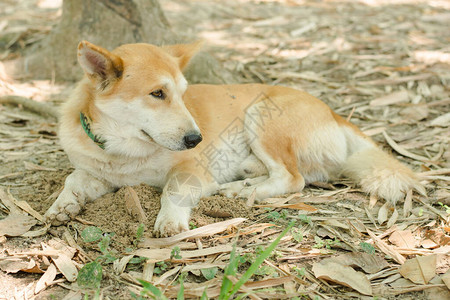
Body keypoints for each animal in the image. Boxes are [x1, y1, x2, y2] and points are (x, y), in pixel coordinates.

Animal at [43, 40, 426, 237]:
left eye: (182, 94)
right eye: (157, 94)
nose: (196, 138)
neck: (123, 153)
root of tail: (333, 111)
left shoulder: (191, 169)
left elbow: (173, 190)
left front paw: (171, 220)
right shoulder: (100, 173)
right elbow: (74, 179)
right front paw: (62, 206)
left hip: (260, 115)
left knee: (293, 178)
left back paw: (241, 191)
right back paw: (243, 180)